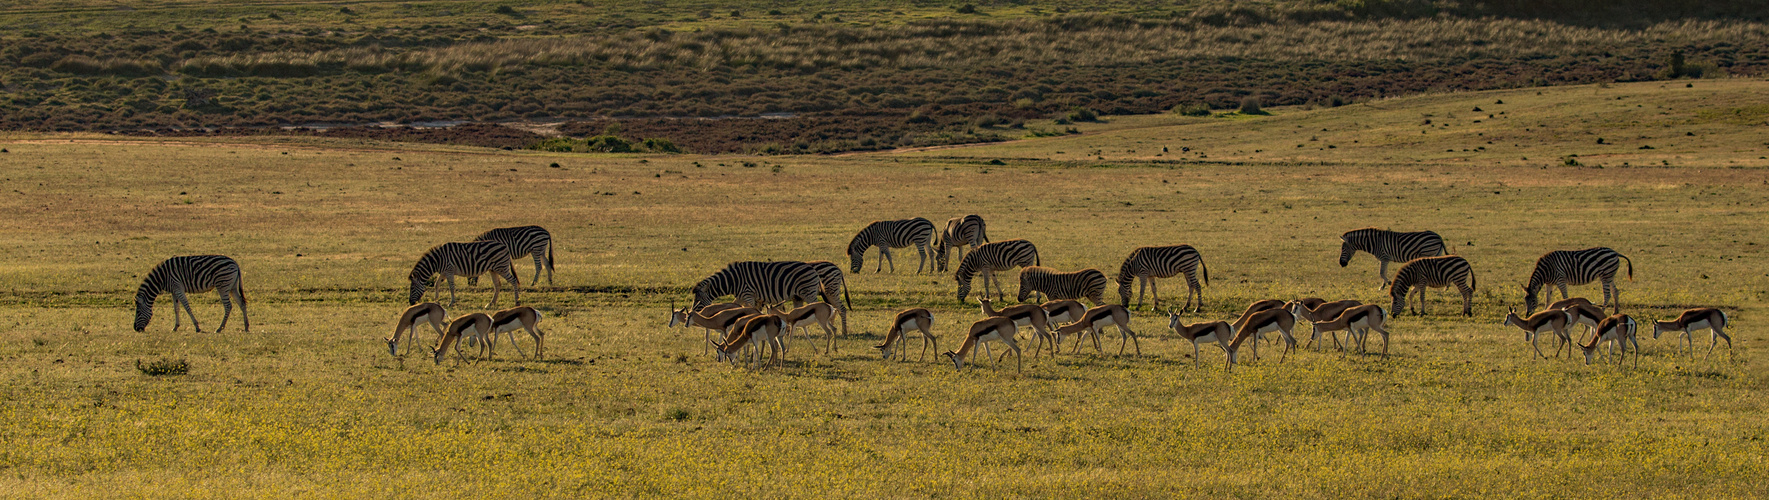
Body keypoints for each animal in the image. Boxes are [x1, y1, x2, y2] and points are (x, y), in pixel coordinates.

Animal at [686, 263, 831, 314]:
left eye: (698, 299)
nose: (692, 312)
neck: (734, 281)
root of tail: (812, 269)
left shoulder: (748, 294)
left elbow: (750, 309)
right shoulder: (741, 296)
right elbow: (734, 305)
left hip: (808, 292)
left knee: (817, 305)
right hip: (798, 296)